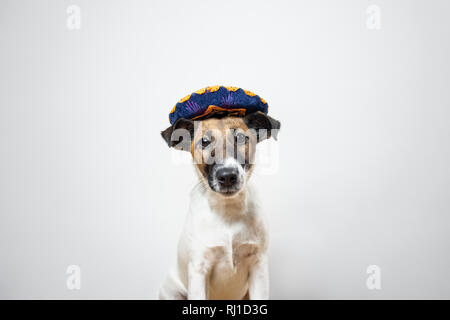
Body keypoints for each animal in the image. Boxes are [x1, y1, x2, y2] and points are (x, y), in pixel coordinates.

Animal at [158, 110, 278, 300]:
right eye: (205, 142)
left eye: (240, 138)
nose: (227, 176)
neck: (227, 210)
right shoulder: (199, 271)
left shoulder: (258, 265)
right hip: (172, 291)